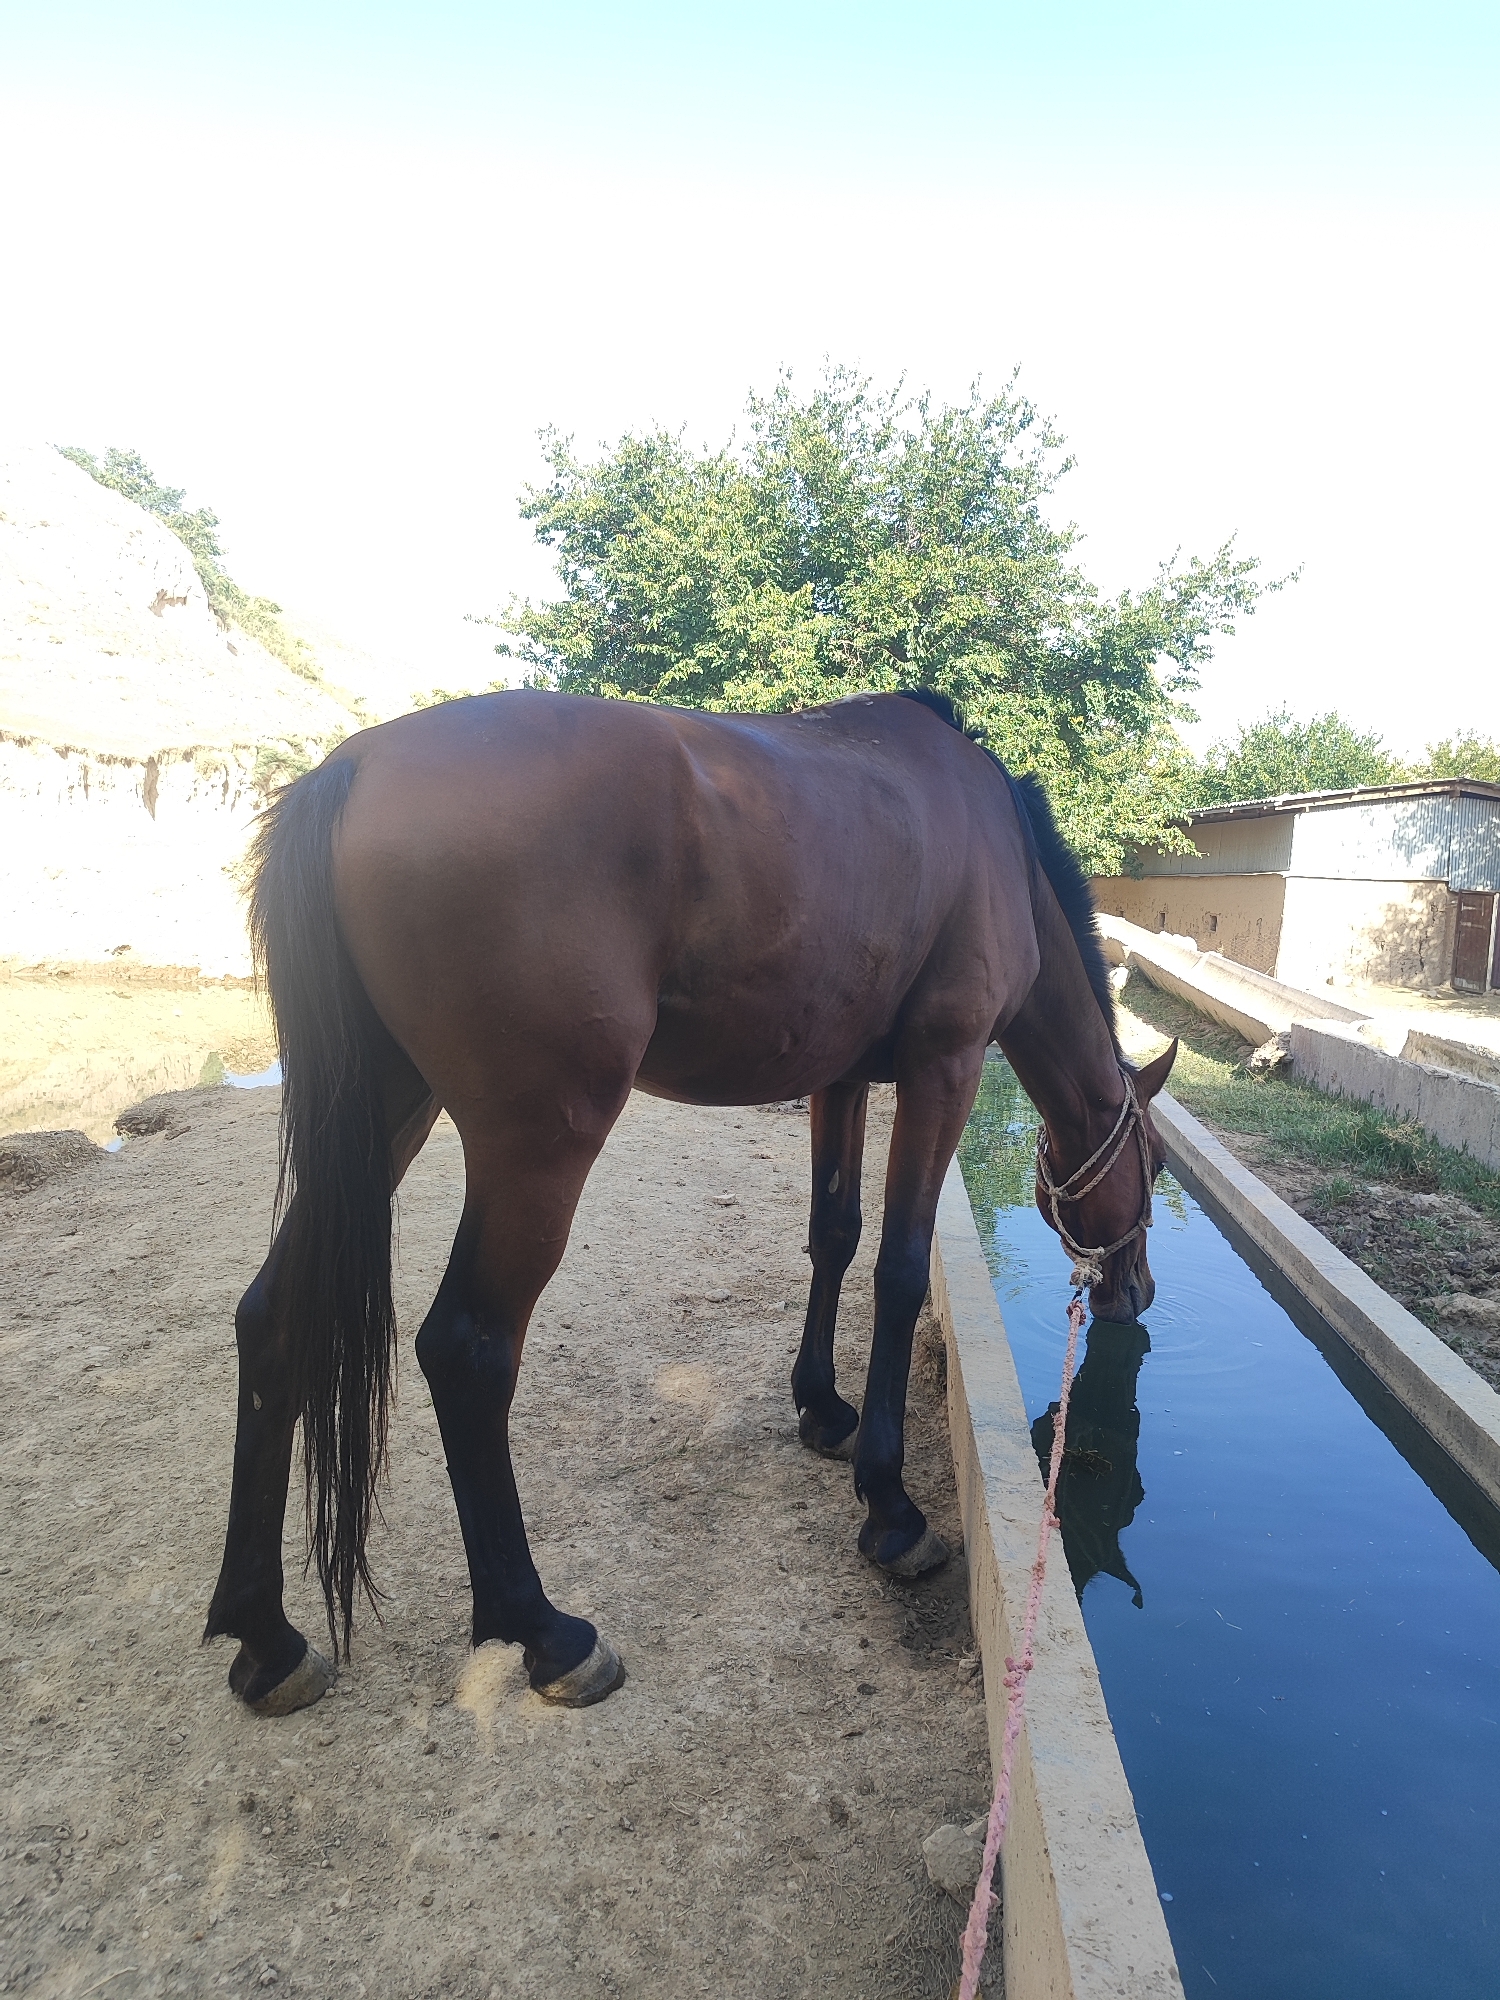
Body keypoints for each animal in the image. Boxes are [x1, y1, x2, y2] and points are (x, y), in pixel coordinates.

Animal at [204, 686, 1176, 1715]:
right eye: (1152, 1166)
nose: (1136, 1292)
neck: (1000, 851)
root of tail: (354, 767)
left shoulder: (840, 1078)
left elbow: (834, 1235)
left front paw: (822, 1409)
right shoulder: (941, 1071)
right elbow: (899, 1269)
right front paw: (891, 1508)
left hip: (382, 1114)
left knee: (275, 1318)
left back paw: (266, 1638)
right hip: (535, 1147)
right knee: (466, 1350)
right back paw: (545, 1631)